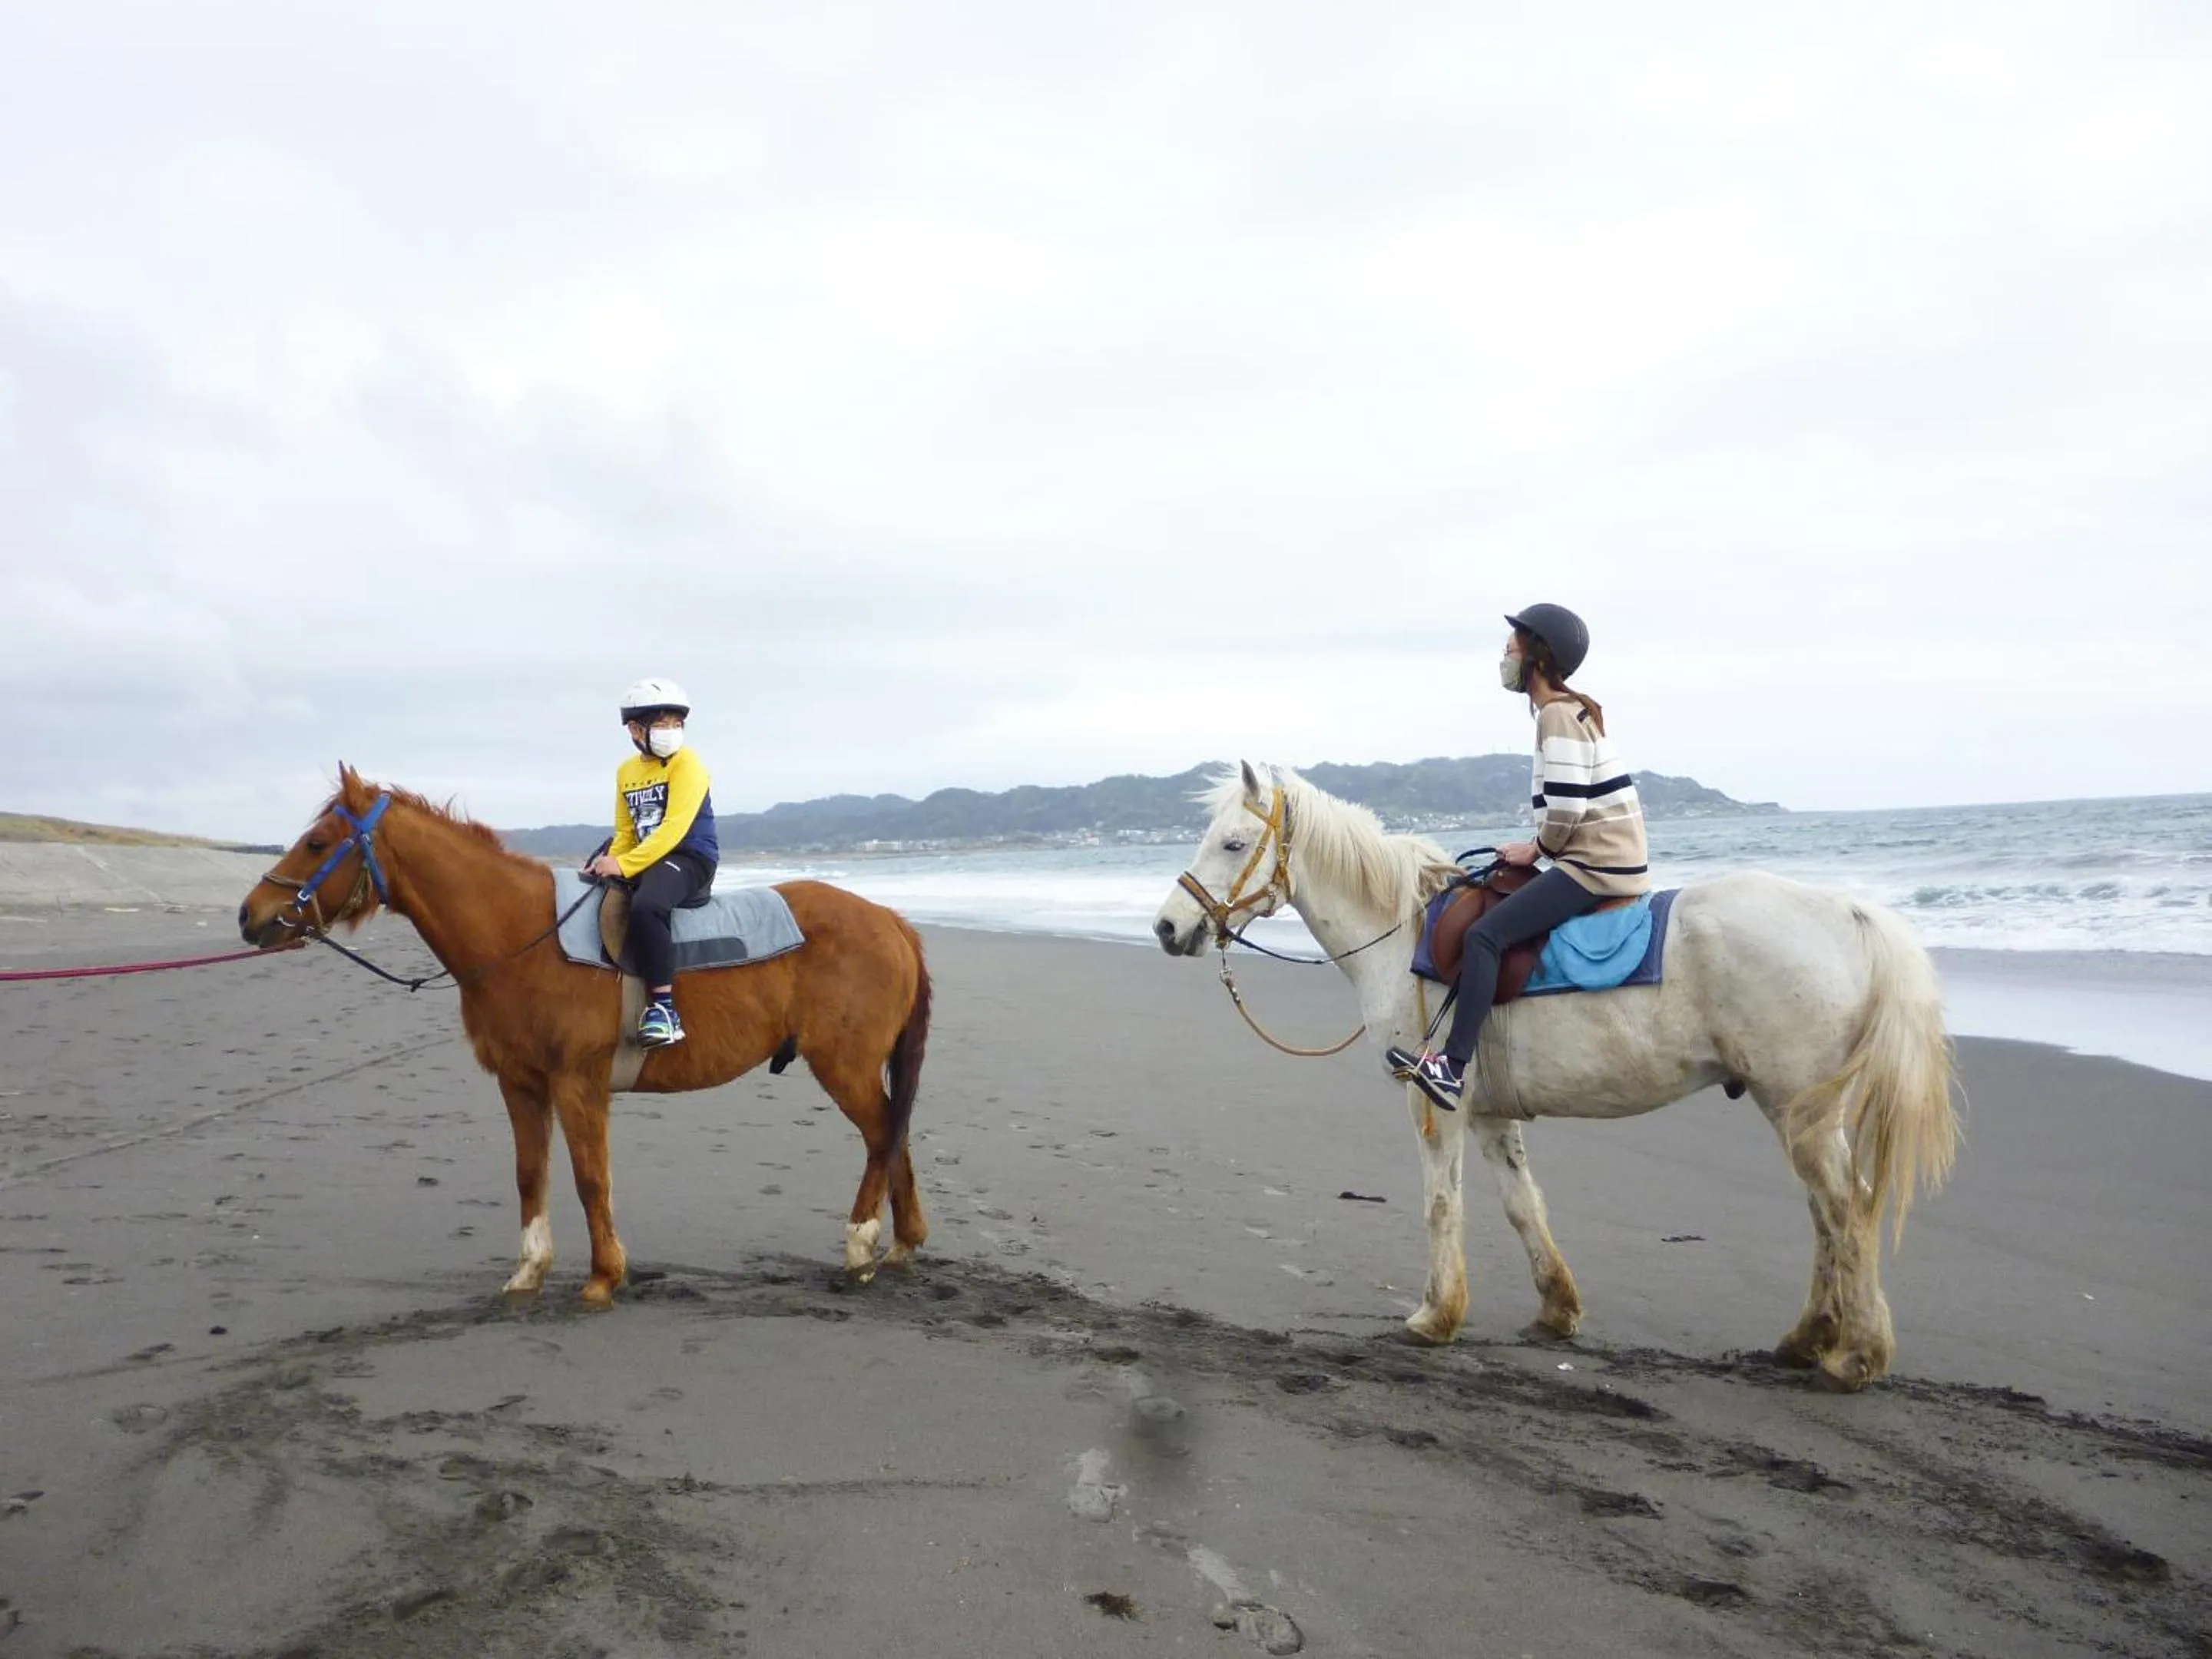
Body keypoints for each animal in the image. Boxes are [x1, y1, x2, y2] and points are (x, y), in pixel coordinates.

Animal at [237, 766, 932, 1306]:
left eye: (316, 842)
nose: (250, 915)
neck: (523, 936)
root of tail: (891, 920)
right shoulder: (520, 1084)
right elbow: (530, 1175)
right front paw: (529, 1271)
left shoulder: (578, 1084)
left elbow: (590, 1178)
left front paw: (603, 1277)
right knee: (893, 1133)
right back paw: (902, 1244)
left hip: (843, 1065)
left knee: (881, 1136)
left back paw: (862, 1244)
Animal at [1152, 762, 1960, 1392]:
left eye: (1232, 842)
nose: (1166, 927)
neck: (1404, 936)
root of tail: (1850, 913)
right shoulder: (1487, 1111)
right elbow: (1522, 1205)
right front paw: (1556, 1310)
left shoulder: (1435, 1103)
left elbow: (1441, 1206)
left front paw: (1434, 1316)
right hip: (1801, 1110)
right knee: (1828, 1214)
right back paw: (1807, 1341)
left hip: (1797, 1108)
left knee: (1846, 1210)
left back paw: (1857, 1355)